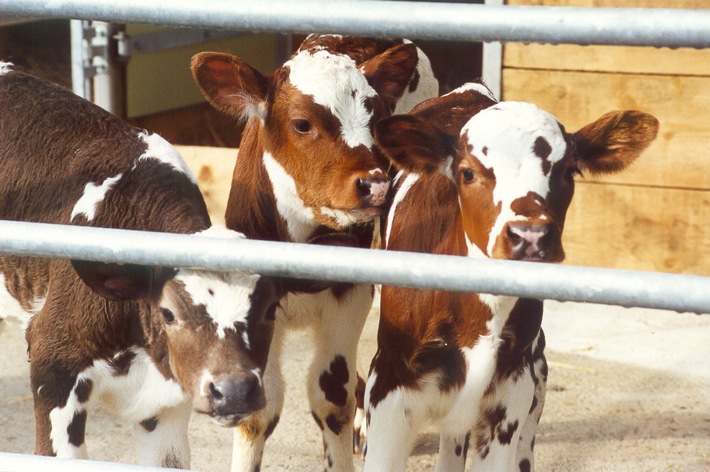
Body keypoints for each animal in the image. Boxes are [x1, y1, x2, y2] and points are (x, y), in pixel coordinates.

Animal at [192, 34, 440, 472]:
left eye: (376, 120)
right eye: (302, 123)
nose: (375, 185)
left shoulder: (350, 295)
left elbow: (332, 397)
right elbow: (258, 406)